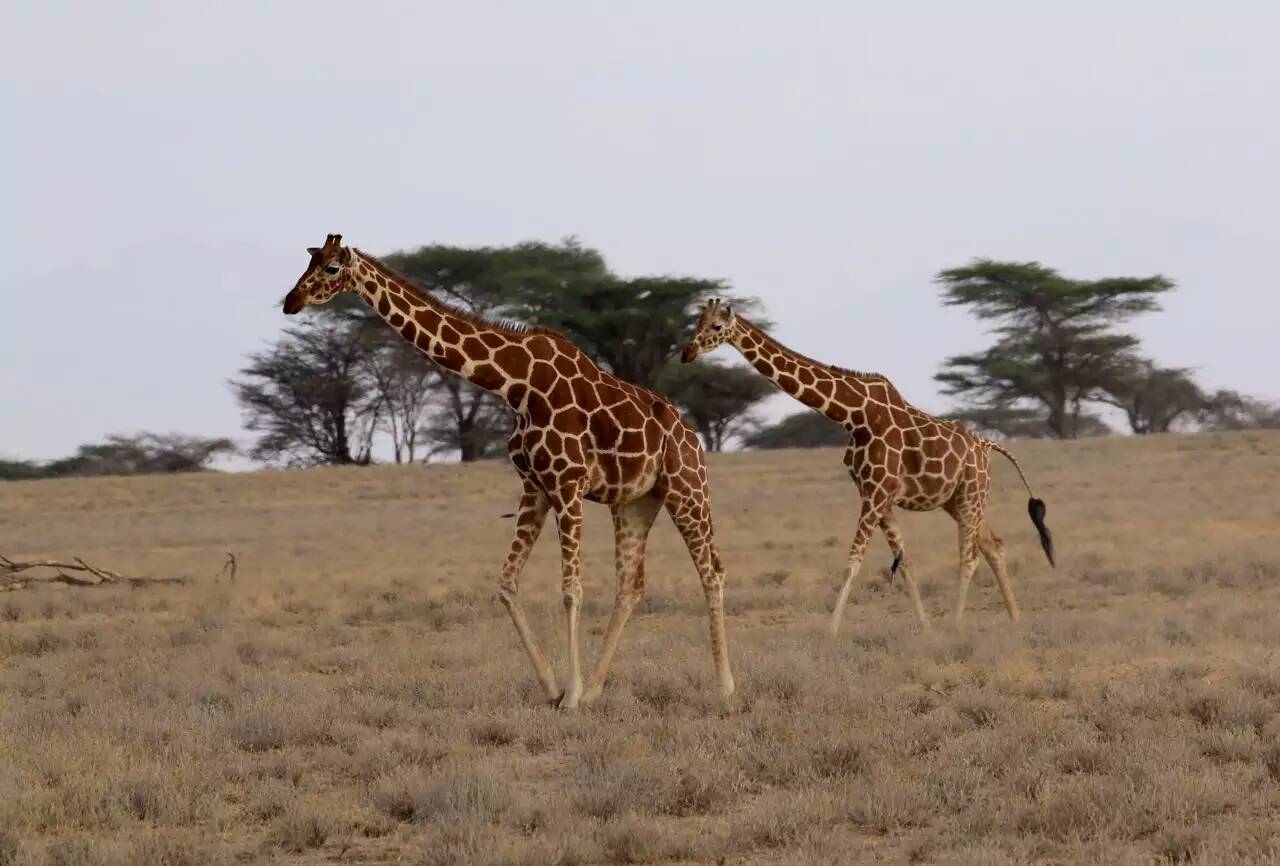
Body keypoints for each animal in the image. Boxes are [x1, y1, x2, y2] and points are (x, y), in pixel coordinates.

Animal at [284, 235, 737, 700]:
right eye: (309, 263)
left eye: (332, 268)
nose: (291, 301)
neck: (515, 385)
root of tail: (691, 435)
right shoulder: (535, 487)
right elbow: (506, 584)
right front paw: (555, 688)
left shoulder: (568, 484)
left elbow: (571, 589)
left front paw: (570, 694)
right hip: (635, 502)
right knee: (630, 585)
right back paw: (597, 689)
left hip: (688, 489)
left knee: (713, 572)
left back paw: (724, 688)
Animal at [680, 300, 1049, 631]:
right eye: (697, 322)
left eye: (715, 326)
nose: (687, 353)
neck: (854, 415)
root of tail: (986, 445)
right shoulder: (876, 494)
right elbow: (905, 560)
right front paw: (925, 625)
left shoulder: (876, 492)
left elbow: (852, 562)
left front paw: (830, 631)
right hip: (957, 500)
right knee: (993, 545)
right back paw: (1015, 618)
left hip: (972, 494)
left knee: (969, 555)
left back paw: (958, 622)